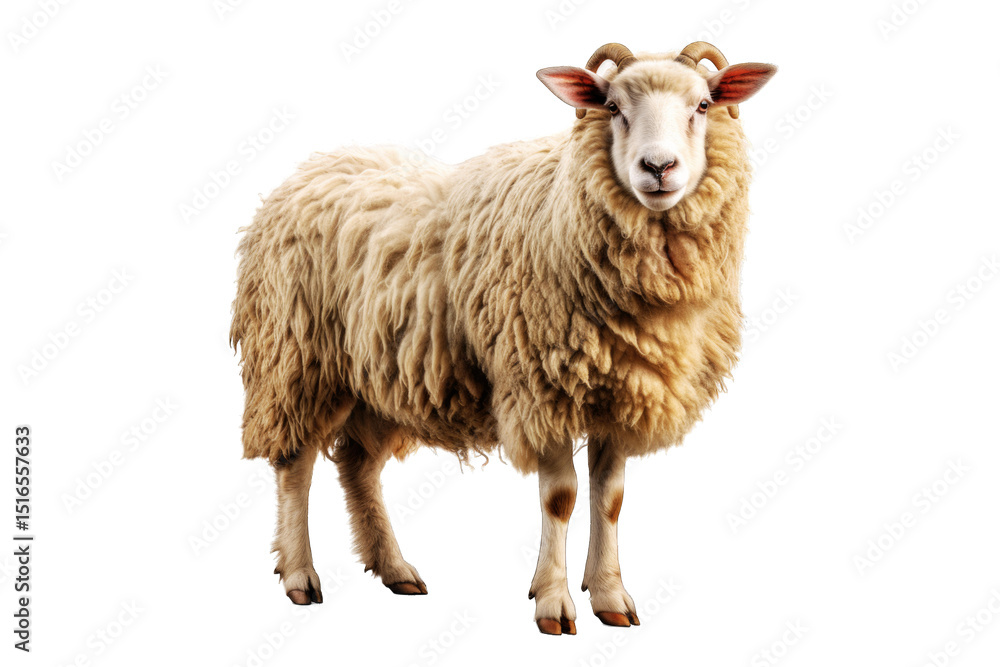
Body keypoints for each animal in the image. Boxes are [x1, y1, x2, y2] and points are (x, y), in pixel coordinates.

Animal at [230, 41, 776, 635]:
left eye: (703, 105)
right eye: (612, 107)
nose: (658, 168)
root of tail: (313, 166)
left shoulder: (620, 392)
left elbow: (609, 500)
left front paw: (609, 595)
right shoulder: (541, 386)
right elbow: (561, 498)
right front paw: (554, 602)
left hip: (378, 375)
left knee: (357, 466)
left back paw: (394, 568)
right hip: (299, 358)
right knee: (295, 465)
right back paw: (300, 575)